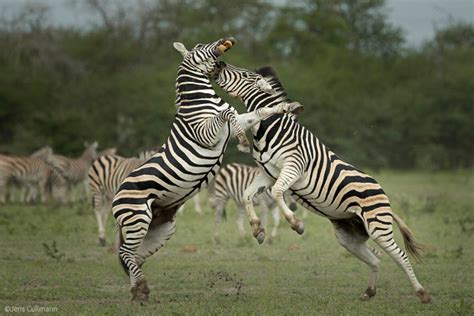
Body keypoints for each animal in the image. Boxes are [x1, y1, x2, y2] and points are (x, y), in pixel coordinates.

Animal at [112, 37, 304, 302]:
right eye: (201, 47)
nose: (228, 40)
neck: (201, 102)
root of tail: (117, 194)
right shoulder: (207, 133)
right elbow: (229, 113)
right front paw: (243, 142)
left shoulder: (233, 124)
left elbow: (258, 112)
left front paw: (287, 107)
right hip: (136, 218)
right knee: (125, 253)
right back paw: (140, 288)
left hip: (160, 228)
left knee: (133, 256)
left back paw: (137, 292)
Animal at [213, 61, 432, 304]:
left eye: (243, 74)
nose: (219, 64)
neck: (271, 128)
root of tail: (382, 194)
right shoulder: (267, 173)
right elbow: (247, 194)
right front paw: (258, 229)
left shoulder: (293, 166)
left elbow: (279, 192)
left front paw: (296, 223)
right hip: (349, 236)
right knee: (375, 259)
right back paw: (369, 292)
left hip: (378, 225)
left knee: (400, 256)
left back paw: (422, 294)